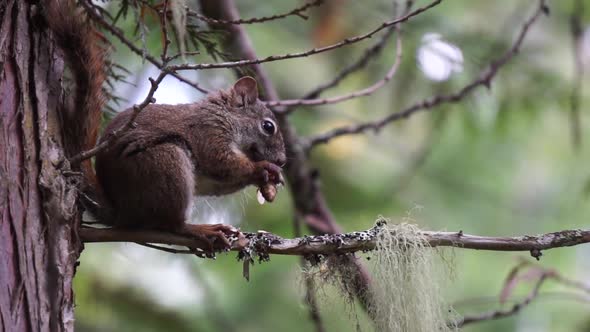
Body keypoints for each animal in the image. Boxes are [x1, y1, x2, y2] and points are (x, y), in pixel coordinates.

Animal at [45, 0, 288, 252]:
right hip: (165, 163)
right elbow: (221, 161)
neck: (224, 115)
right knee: (170, 224)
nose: (282, 161)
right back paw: (200, 229)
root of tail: (123, 214)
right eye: (268, 127)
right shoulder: (208, 131)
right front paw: (263, 168)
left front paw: (269, 179)